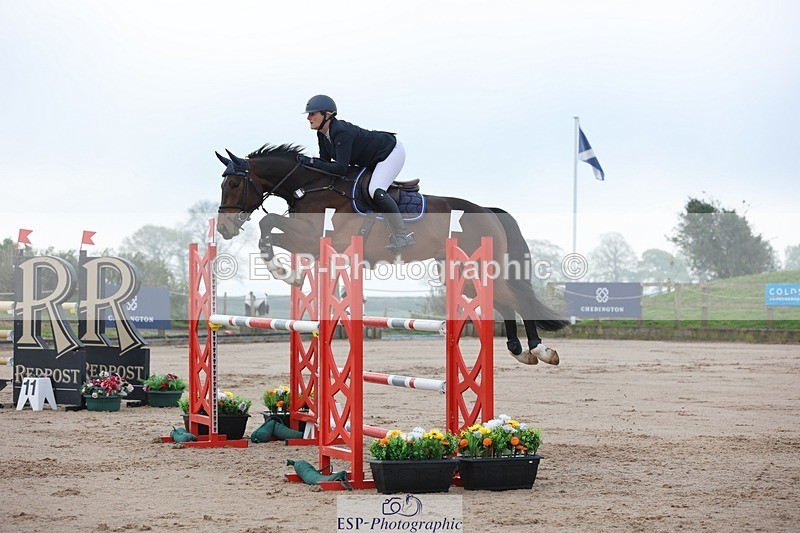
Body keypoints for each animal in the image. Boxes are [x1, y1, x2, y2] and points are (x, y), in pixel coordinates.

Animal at [215, 143, 569, 365]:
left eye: (234, 184)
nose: (224, 228)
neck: (312, 186)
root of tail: (487, 210)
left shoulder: (319, 238)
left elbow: (268, 221)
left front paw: (282, 271)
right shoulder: (309, 241)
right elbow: (269, 227)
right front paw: (289, 272)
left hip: (479, 266)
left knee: (517, 297)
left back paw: (540, 350)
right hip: (468, 274)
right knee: (505, 300)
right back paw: (521, 351)